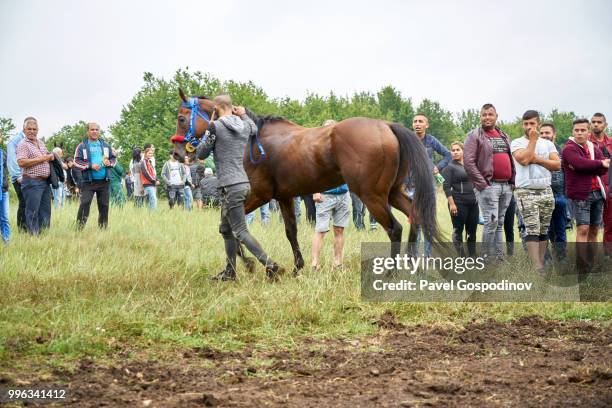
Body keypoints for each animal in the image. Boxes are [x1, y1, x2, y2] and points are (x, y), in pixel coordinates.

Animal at [172, 91, 440, 272]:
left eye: (181, 119)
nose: (176, 153)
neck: (251, 139)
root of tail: (386, 126)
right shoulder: (284, 197)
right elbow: (291, 230)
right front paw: (297, 266)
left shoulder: (258, 195)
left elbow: (232, 227)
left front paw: (250, 263)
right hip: (392, 192)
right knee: (414, 214)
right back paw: (411, 262)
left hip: (372, 196)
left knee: (395, 228)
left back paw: (391, 272)